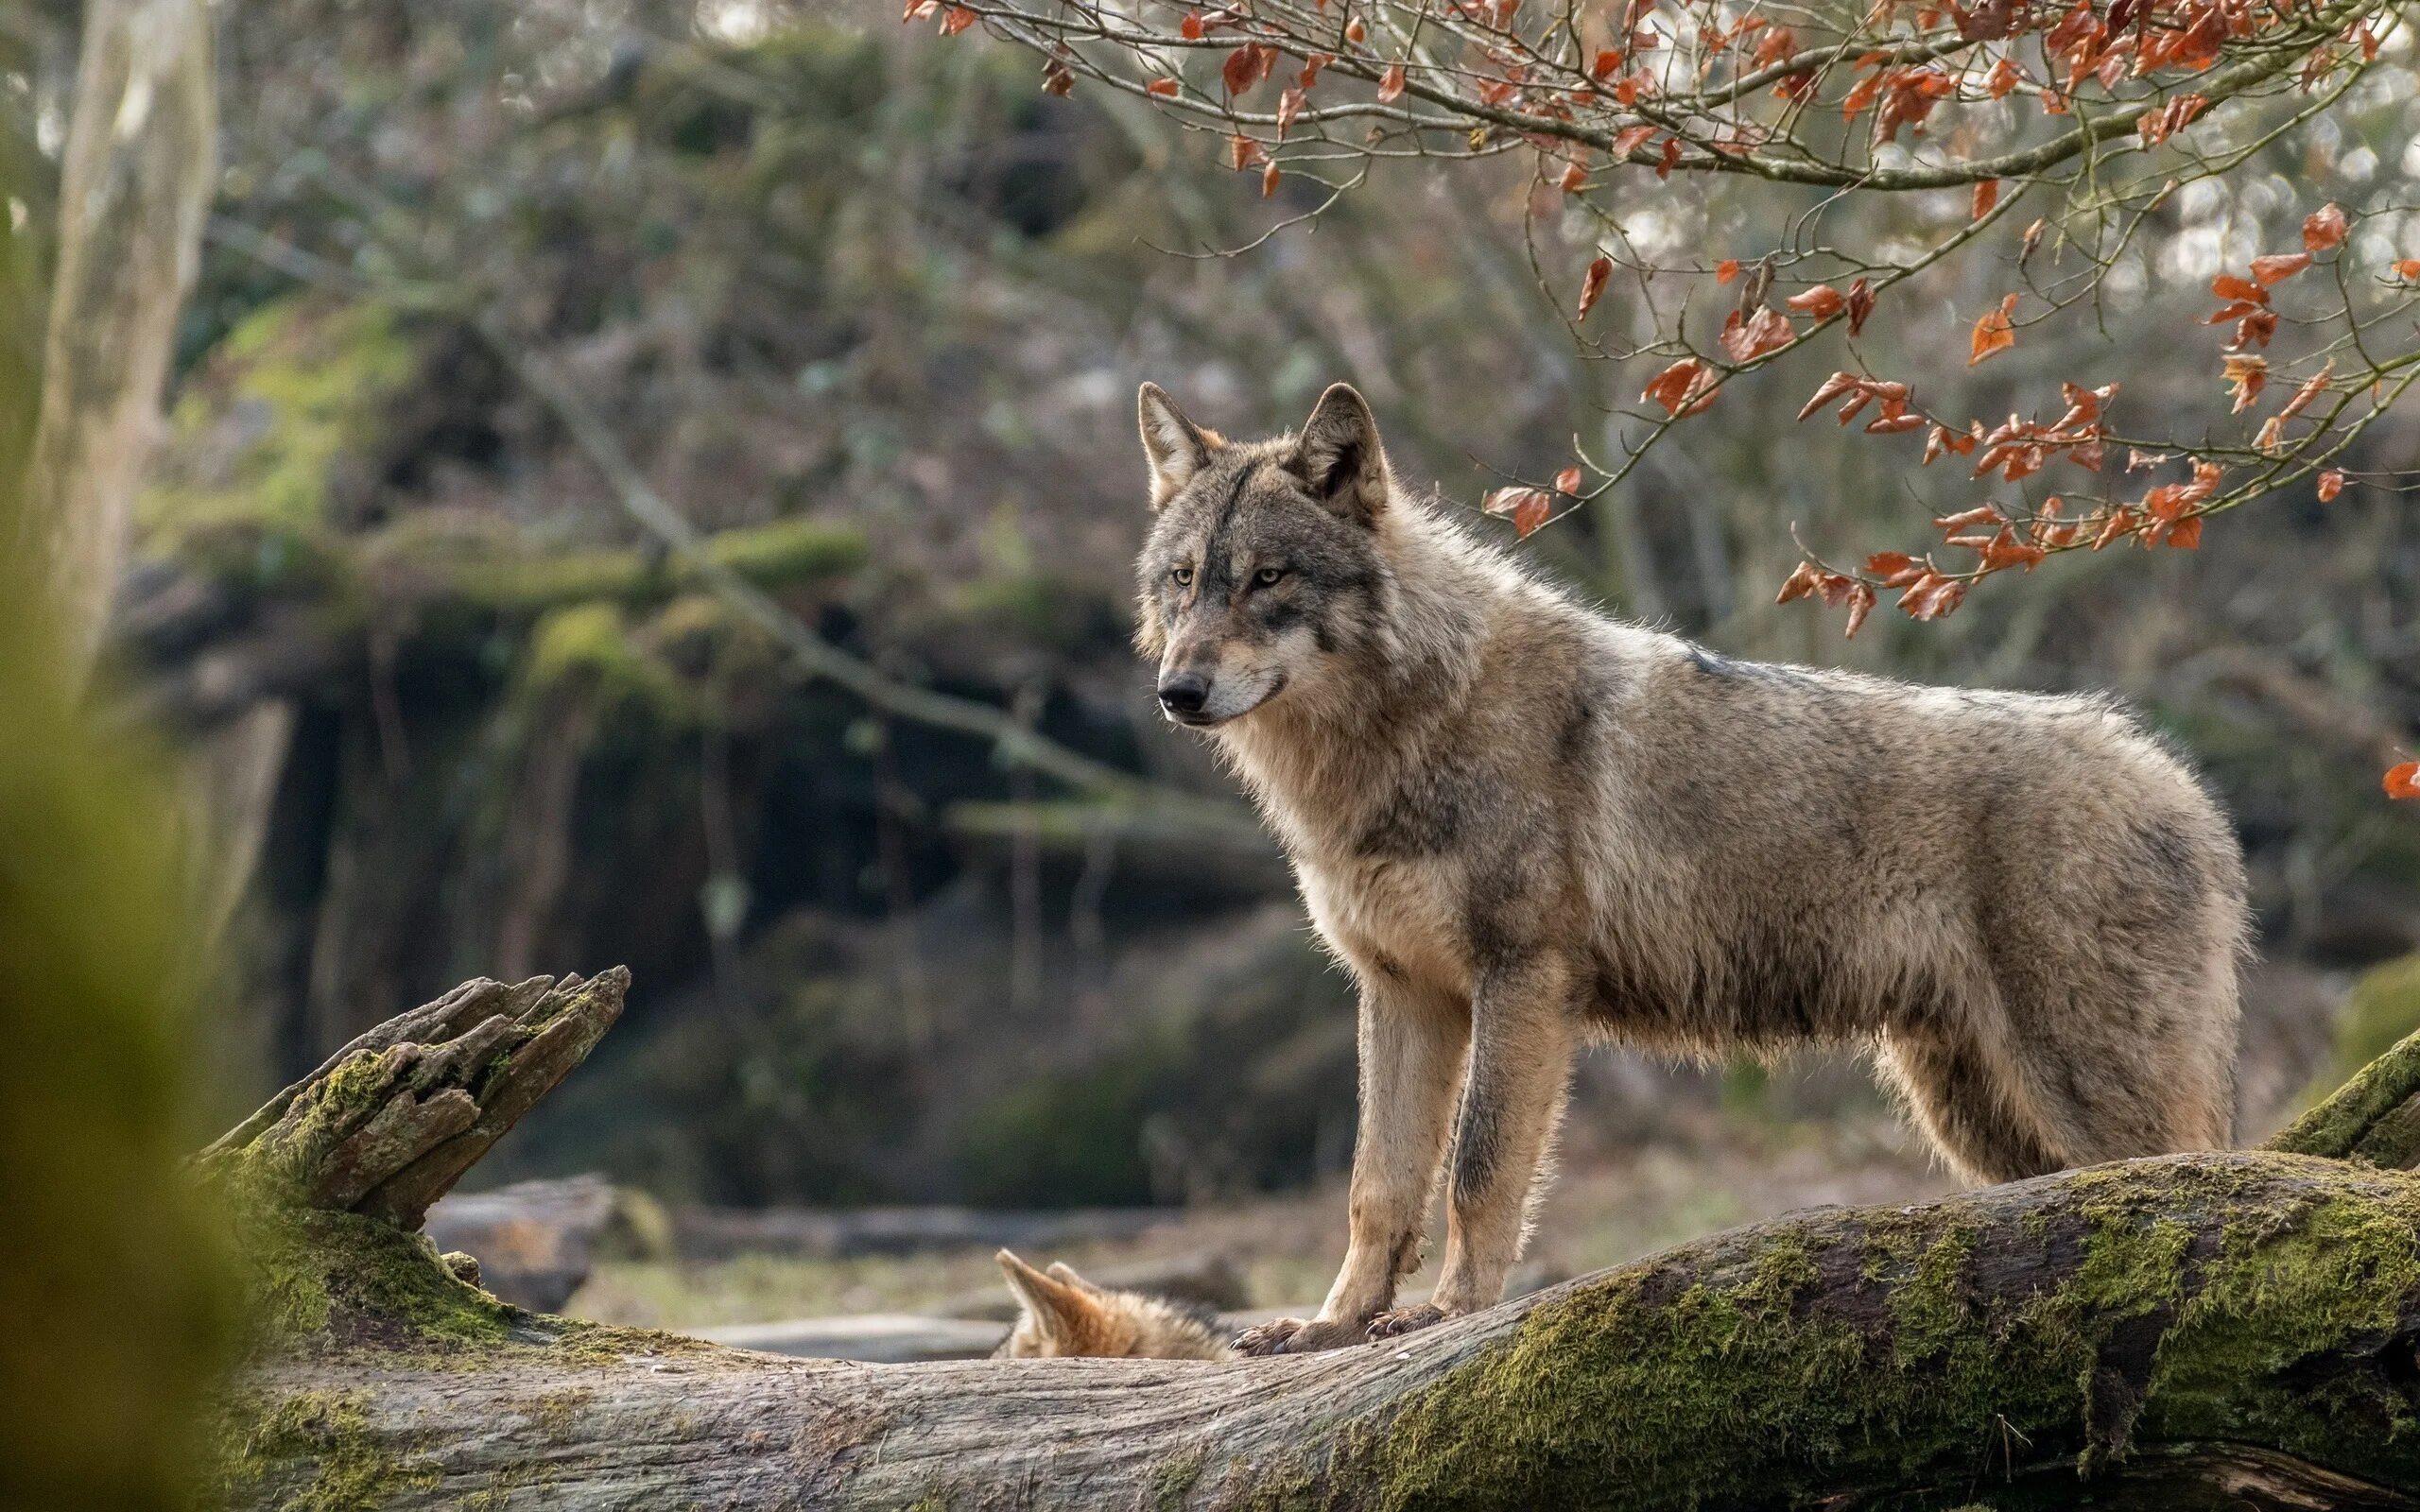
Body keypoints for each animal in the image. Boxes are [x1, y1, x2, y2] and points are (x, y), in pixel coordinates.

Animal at [1132, 382, 2245, 1354]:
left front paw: (1447, 1313)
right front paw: (1331, 1327)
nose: (1176, 691)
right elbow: (1379, 1186)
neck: (1401, 730)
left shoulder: (1522, 979)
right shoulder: (1402, 990)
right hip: (1975, 1117)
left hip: (2078, 1096)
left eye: (1269, 577)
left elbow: (1478, 1170)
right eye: (1184, 579)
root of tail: (2183, 787)